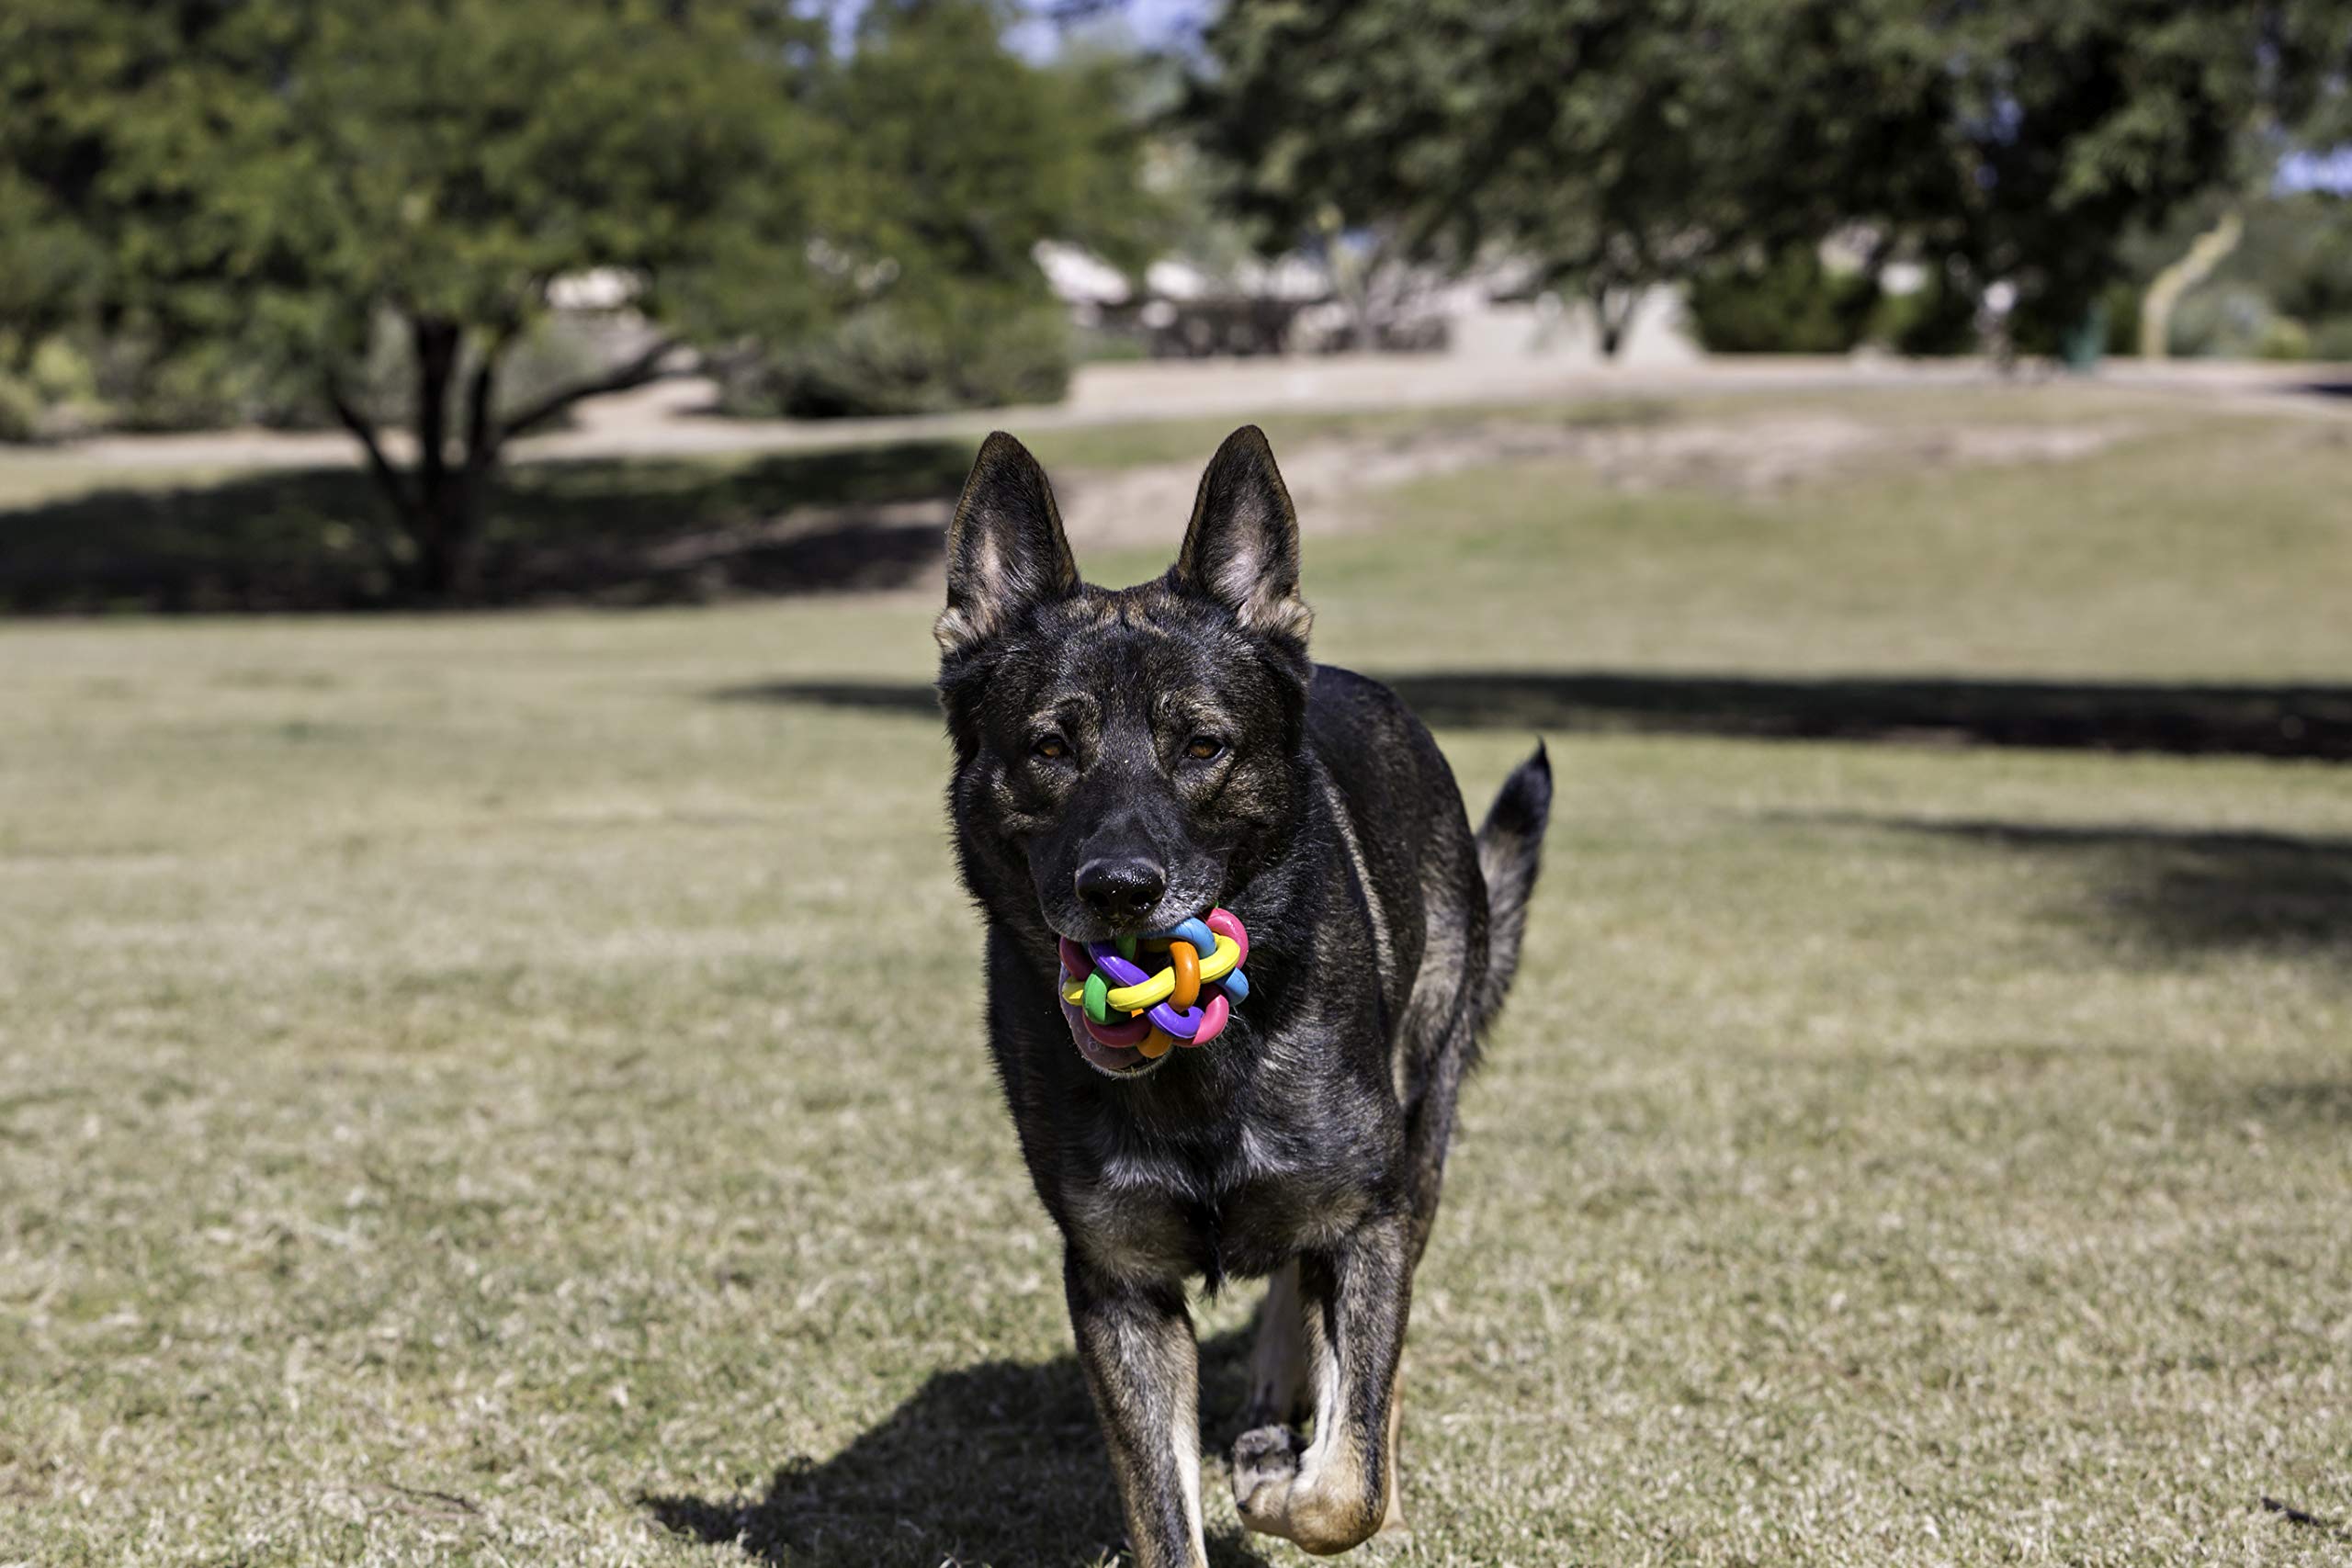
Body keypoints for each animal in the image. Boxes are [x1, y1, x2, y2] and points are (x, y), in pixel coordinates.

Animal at [935, 423, 1561, 1561]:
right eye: (1049, 747)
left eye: (1201, 745)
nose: (1119, 889)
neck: (1200, 1071)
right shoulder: (1119, 1288)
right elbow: (1163, 1513)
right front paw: (1260, 1455)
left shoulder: (1371, 1219)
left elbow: (1347, 1485)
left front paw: (1291, 1482)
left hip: (1423, 1127)